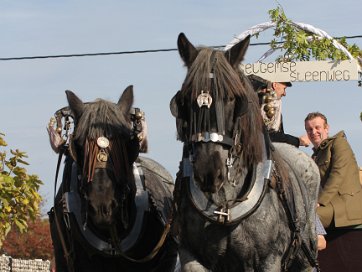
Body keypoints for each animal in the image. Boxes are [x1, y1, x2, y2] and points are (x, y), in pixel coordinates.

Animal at [171, 34, 320, 272]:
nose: (208, 171)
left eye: (233, 98)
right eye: (184, 99)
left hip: (306, 259)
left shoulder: (269, 260)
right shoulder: (190, 255)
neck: (224, 208)